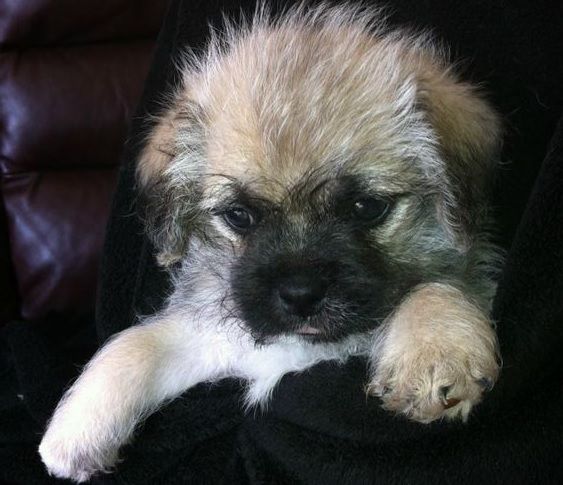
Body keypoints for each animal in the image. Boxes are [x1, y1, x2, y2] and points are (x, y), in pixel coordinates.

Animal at [41, 3, 504, 480]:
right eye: (239, 216)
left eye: (366, 207)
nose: (300, 295)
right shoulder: (217, 339)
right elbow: (138, 345)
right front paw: (77, 429)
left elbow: (434, 285)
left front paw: (435, 354)